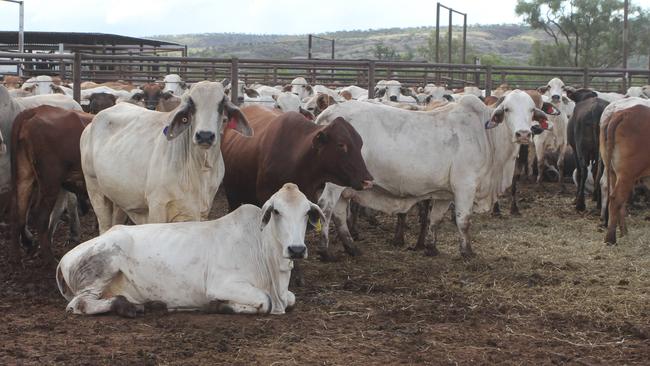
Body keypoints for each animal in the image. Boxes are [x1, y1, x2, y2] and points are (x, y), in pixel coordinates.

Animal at [9, 104, 92, 264]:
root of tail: (35, 110)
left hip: (24, 176)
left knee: (19, 212)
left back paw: (16, 258)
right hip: (50, 182)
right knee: (40, 215)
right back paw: (50, 261)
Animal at [57, 184, 324, 316]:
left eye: (306, 213)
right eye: (276, 211)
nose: (296, 249)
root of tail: (63, 259)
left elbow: (291, 298)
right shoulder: (221, 283)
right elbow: (264, 301)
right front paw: (219, 306)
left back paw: (150, 305)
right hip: (102, 266)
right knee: (79, 305)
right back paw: (129, 308)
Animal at [80, 81, 251, 233]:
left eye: (222, 103)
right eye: (191, 103)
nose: (205, 136)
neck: (199, 168)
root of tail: (91, 124)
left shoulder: (201, 211)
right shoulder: (157, 206)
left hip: (119, 195)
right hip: (94, 188)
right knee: (104, 225)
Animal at [316, 91, 548, 258]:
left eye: (531, 110)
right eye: (507, 109)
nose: (523, 134)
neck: (486, 134)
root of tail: (329, 113)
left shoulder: (446, 193)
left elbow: (435, 218)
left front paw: (430, 247)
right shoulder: (465, 185)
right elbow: (464, 220)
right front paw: (467, 252)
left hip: (344, 185)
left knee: (338, 213)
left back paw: (351, 248)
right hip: (332, 184)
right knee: (325, 208)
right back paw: (325, 250)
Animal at [596, 104, 648, 244]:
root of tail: (622, 114)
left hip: (613, 172)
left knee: (618, 200)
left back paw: (623, 232)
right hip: (627, 174)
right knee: (616, 199)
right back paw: (610, 239)